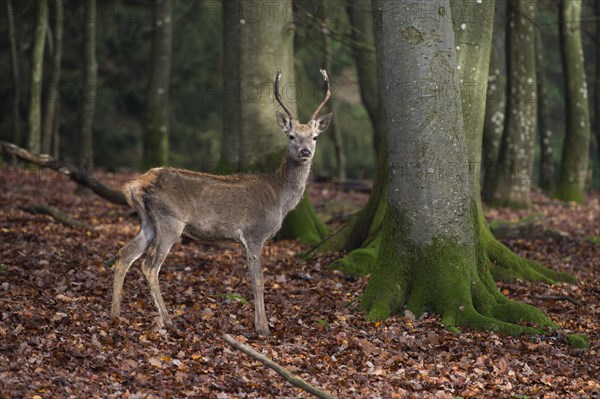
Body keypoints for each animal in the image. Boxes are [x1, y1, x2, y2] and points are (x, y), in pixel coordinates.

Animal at [110, 69, 330, 338]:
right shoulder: (255, 233)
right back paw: (168, 320)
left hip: (148, 222)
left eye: (314, 137)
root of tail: (135, 184)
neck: (279, 198)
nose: (305, 151)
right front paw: (263, 328)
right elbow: (258, 281)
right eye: (291, 136)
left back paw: (115, 314)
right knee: (150, 265)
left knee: (125, 253)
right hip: (169, 221)